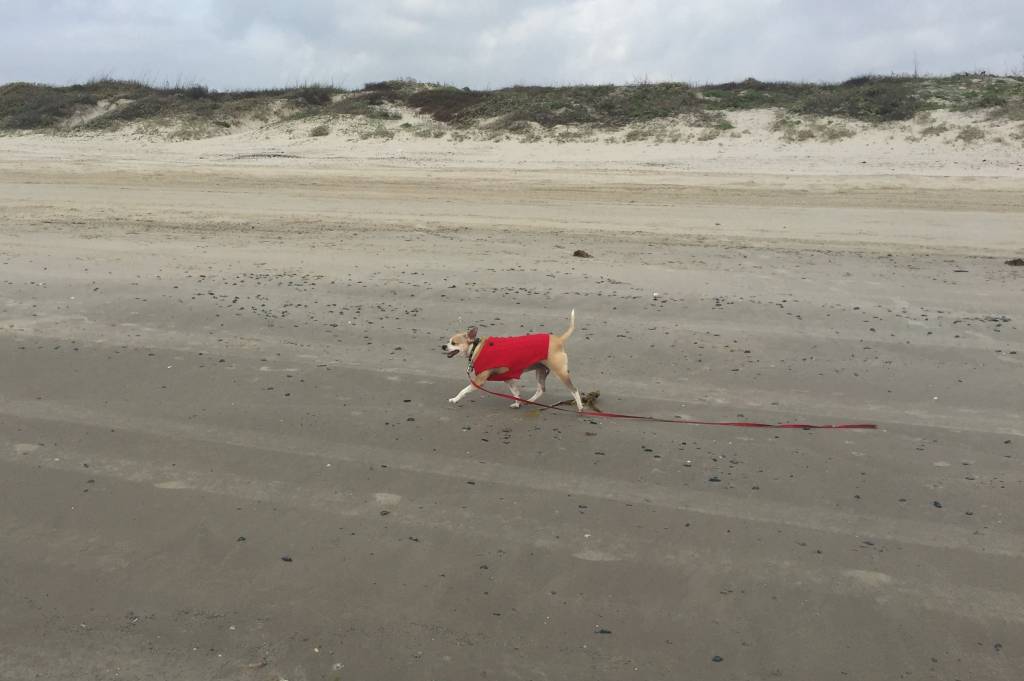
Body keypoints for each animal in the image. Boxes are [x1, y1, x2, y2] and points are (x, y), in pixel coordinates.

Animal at [442, 310, 583, 411]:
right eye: (448, 341)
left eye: (453, 343)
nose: (443, 346)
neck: (476, 347)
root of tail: (559, 339)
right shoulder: (508, 377)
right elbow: (516, 392)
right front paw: (517, 403)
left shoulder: (479, 381)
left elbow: (463, 391)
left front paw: (455, 399)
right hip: (541, 370)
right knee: (541, 389)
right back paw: (530, 400)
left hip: (560, 372)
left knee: (574, 389)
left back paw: (580, 407)